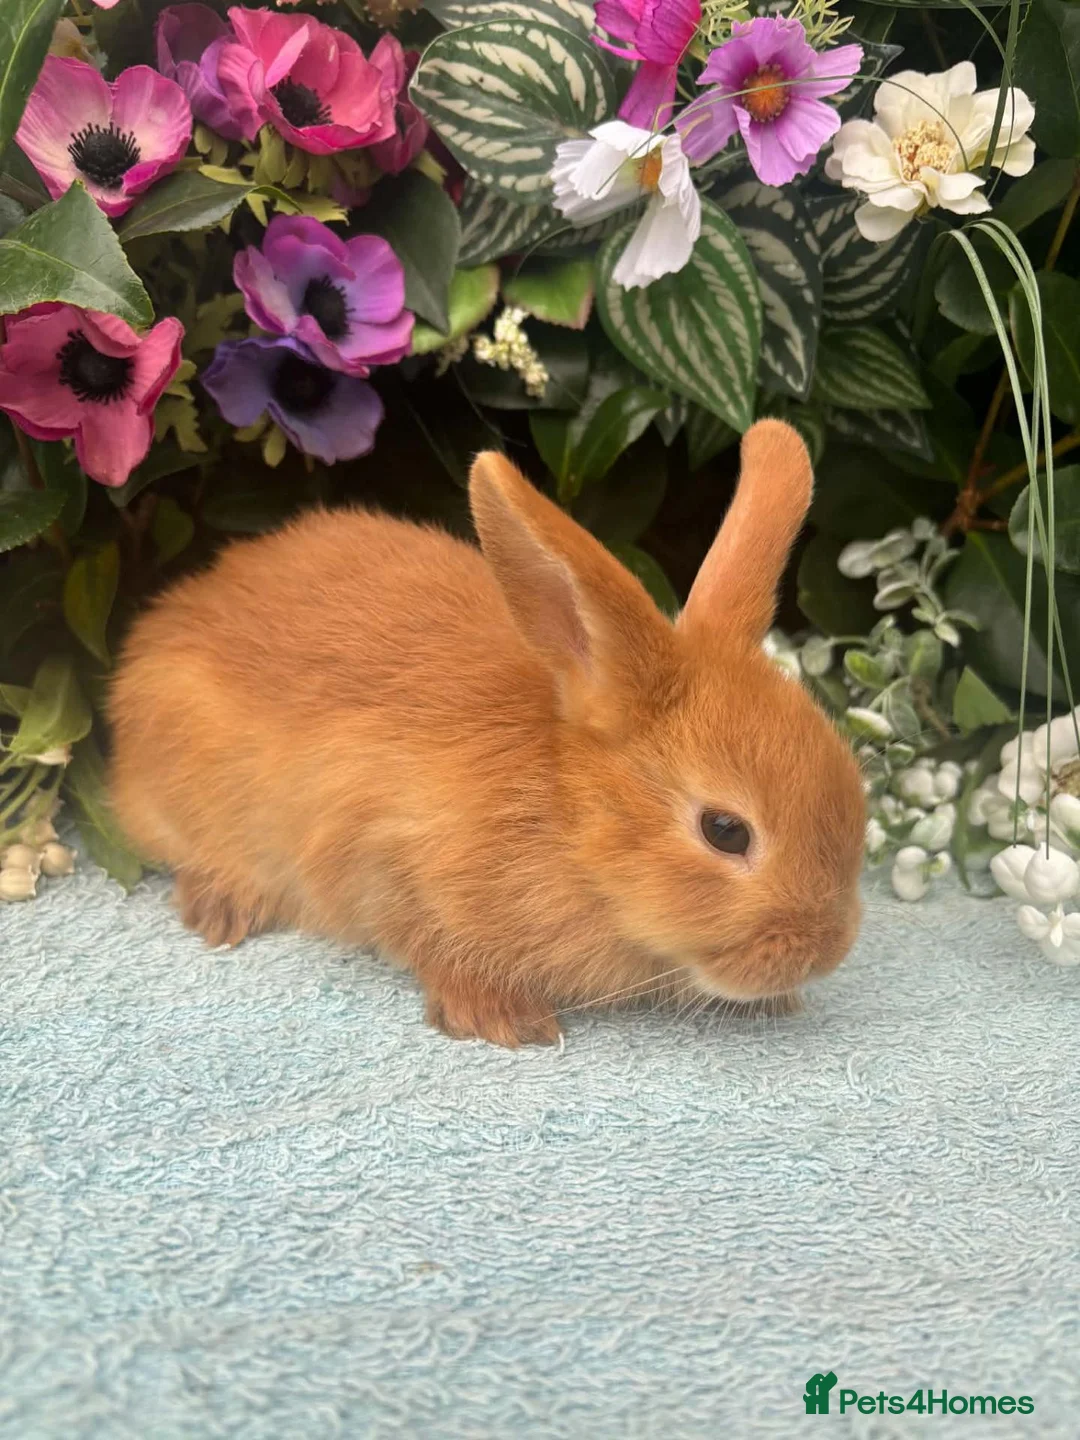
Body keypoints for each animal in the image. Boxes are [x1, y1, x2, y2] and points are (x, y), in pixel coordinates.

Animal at [108, 418, 866, 1046]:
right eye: (725, 831)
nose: (825, 951)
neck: (564, 818)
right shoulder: (380, 850)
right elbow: (431, 943)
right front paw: (503, 1019)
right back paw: (222, 906)